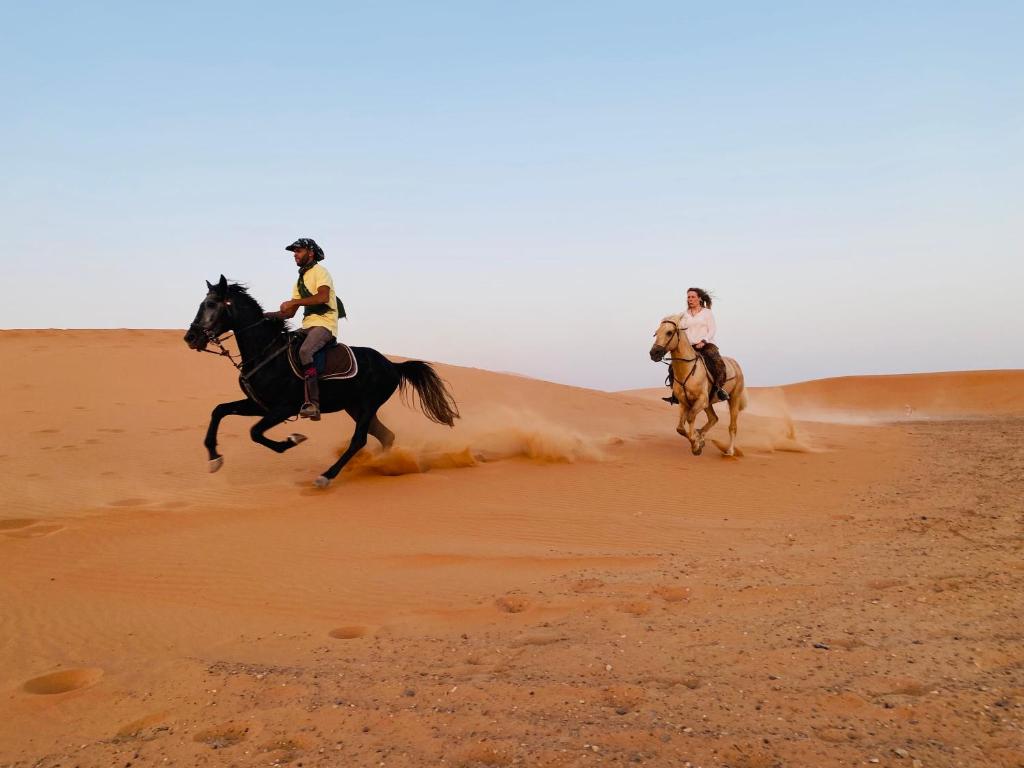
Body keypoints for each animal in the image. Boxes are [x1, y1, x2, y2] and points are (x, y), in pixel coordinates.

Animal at [182, 276, 458, 487]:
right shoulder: (259, 405)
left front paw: (291, 440)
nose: (191, 337)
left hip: (368, 405)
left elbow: (255, 433)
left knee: (359, 440)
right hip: (355, 407)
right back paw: (381, 465)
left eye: (210, 304)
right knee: (385, 436)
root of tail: (393, 365)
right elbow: (219, 411)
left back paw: (327, 475)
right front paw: (214, 458)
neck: (265, 353)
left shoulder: (284, 408)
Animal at [651, 313, 749, 456]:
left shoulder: (701, 400)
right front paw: (697, 441)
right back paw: (701, 436)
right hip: (709, 403)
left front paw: (696, 445)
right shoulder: (684, 402)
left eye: (669, 332)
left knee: (732, 426)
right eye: (656, 333)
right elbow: (680, 428)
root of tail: (736, 365)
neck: (688, 370)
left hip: (733, 399)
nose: (653, 353)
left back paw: (729, 451)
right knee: (714, 418)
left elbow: (690, 418)